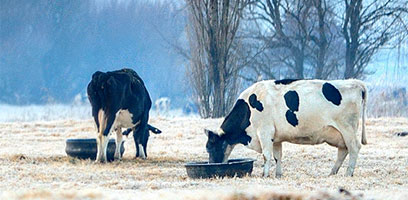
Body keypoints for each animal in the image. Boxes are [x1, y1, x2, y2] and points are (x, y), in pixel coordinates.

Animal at [206, 79, 368, 177]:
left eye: (210, 147)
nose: (211, 164)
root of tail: (356, 82)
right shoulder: (276, 138)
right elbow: (277, 156)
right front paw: (278, 175)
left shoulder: (265, 132)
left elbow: (266, 155)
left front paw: (265, 175)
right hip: (339, 134)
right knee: (343, 150)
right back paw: (332, 173)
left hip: (347, 128)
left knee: (354, 148)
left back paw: (348, 173)